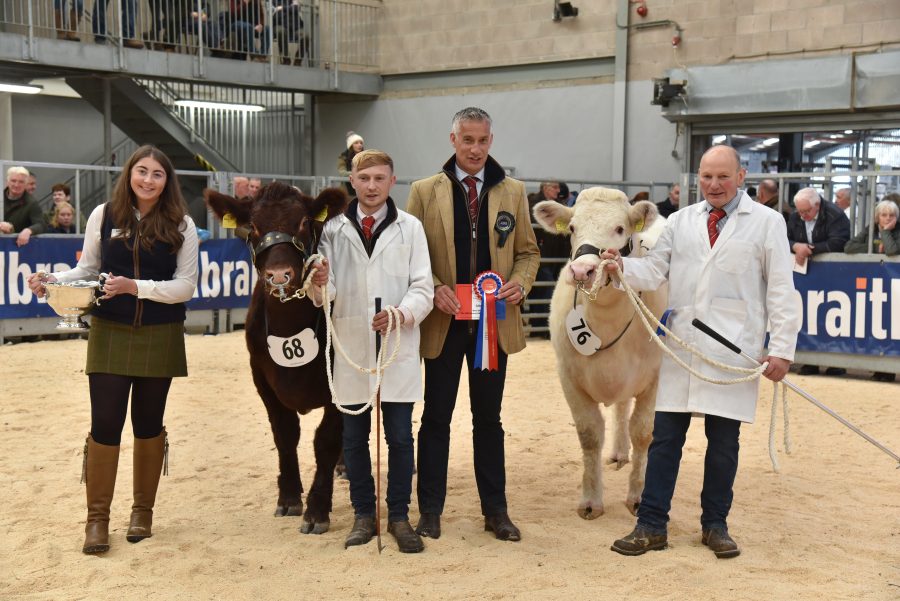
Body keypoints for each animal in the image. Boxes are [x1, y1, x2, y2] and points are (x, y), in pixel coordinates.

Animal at [536, 189, 668, 520]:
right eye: (572, 228)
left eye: (620, 229)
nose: (582, 270)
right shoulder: (569, 377)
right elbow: (590, 434)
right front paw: (591, 500)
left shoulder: (656, 378)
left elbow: (643, 432)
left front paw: (637, 496)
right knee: (621, 409)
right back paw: (619, 452)